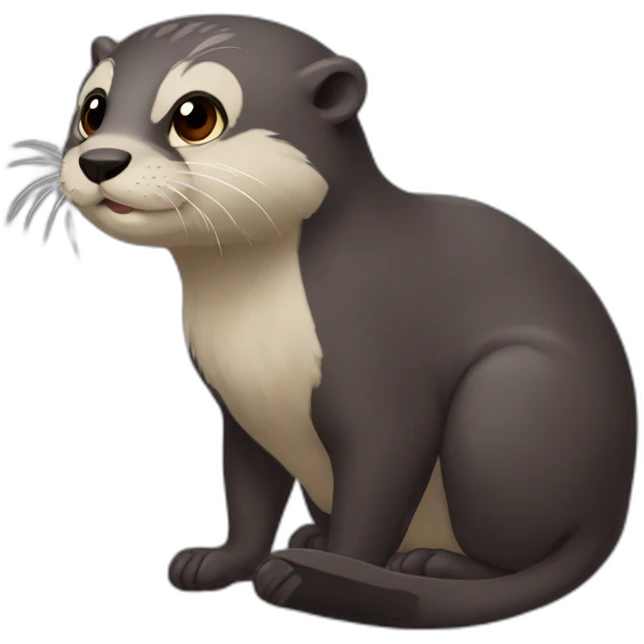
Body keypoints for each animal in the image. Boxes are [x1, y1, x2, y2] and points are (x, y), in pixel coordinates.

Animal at [17, 14, 636, 629]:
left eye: (195, 117)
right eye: (92, 109)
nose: (101, 160)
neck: (255, 325)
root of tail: (612, 498)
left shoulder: (383, 375)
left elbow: (377, 490)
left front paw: (322, 575)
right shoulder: (241, 407)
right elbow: (249, 495)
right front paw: (218, 563)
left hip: (511, 398)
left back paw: (425, 565)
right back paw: (313, 539)